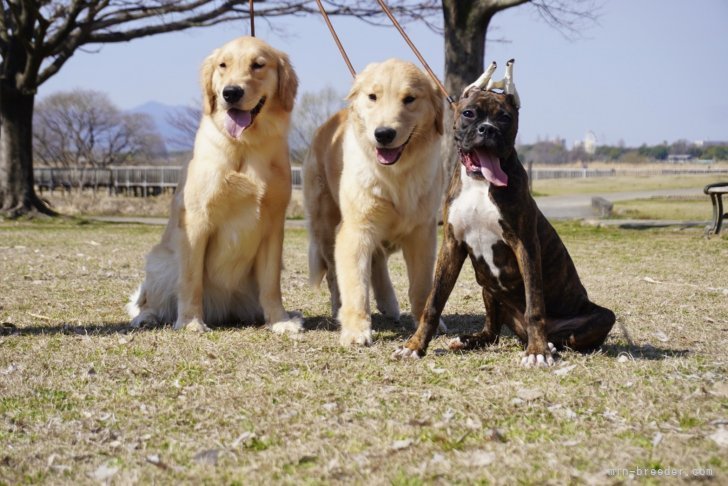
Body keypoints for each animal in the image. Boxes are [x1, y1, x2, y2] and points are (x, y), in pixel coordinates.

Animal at [126, 37, 302, 334]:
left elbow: (271, 285)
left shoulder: (273, 225)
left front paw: (280, 321)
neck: (245, 145)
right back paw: (146, 317)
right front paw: (190, 322)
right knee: (148, 299)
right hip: (160, 262)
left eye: (258, 65)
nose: (231, 93)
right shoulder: (196, 221)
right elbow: (191, 280)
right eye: (223, 65)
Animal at [304, 58, 446, 346]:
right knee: (335, 274)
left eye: (409, 99)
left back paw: (389, 304)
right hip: (325, 226)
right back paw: (339, 308)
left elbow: (421, 285)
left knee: (378, 262)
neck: (395, 175)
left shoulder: (422, 233)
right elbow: (356, 285)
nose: (383, 134)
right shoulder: (356, 230)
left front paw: (425, 323)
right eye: (373, 97)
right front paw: (356, 330)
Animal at [392, 58, 616, 366]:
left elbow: (535, 305)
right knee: (492, 331)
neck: (479, 182)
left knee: (562, 332)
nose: (488, 129)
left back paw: (548, 344)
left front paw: (537, 352)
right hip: (488, 288)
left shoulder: (525, 245)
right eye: (469, 113)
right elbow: (434, 302)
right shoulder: (452, 245)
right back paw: (469, 340)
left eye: (505, 118)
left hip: (602, 316)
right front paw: (414, 346)